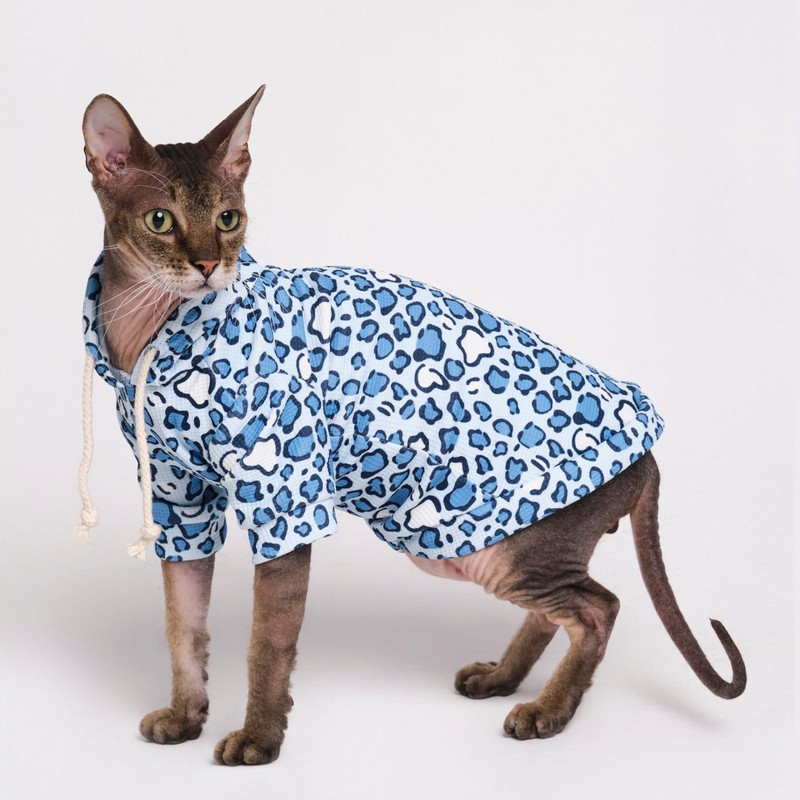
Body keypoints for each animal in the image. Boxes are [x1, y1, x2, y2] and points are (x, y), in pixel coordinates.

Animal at [80, 87, 746, 766]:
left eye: (228, 218)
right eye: (160, 220)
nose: (211, 264)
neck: (140, 338)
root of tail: (648, 453)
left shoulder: (286, 501)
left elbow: (267, 644)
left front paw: (259, 741)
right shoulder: (178, 502)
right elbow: (183, 626)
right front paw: (185, 718)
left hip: (501, 550)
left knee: (599, 608)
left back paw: (546, 713)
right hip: (478, 551)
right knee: (563, 610)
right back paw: (502, 679)